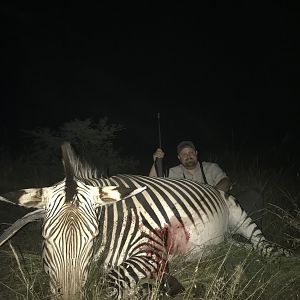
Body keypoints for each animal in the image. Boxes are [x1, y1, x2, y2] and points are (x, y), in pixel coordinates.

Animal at [0, 142, 292, 300]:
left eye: (92, 239)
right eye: (45, 239)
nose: (71, 295)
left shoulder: (152, 252)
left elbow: (106, 283)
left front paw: (147, 290)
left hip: (239, 215)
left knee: (262, 244)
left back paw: (284, 257)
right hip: (225, 240)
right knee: (242, 247)